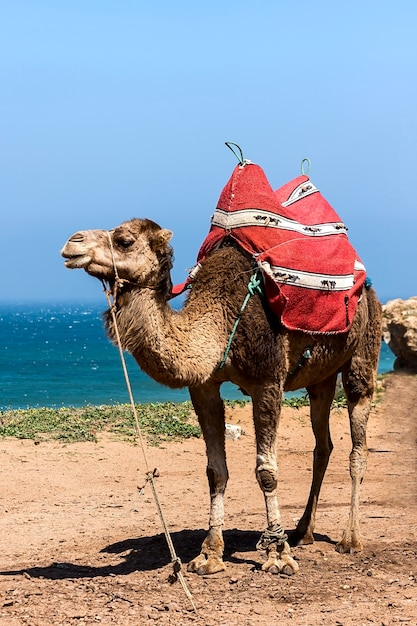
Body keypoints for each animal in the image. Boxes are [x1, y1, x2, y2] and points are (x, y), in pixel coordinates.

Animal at [60, 217, 382, 572]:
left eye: (124, 240)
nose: (72, 242)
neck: (220, 319)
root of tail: (368, 288)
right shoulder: (203, 386)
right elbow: (215, 471)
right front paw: (209, 555)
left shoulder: (268, 381)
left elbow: (266, 471)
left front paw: (278, 555)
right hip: (321, 377)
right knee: (322, 445)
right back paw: (302, 532)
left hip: (363, 352)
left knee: (357, 444)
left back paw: (349, 539)